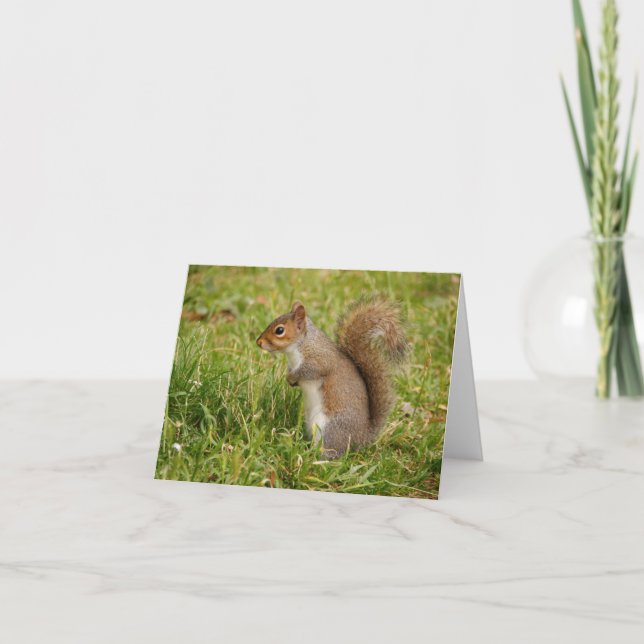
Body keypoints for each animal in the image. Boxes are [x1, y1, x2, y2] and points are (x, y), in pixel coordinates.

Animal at [256, 297, 409, 458]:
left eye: (279, 330)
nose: (258, 342)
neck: (302, 345)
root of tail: (361, 438)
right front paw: (290, 379)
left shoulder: (319, 361)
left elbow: (308, 371)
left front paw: (292, 377)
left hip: (330, 428)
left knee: (332, 452)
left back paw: (312, 455)